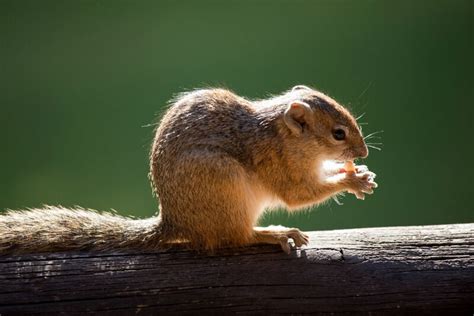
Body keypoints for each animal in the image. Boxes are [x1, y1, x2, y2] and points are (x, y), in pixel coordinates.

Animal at [0, 86, 378, 254]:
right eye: (338, 133)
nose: (363, 151)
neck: (281, 135)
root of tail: (176, 222)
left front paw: (359, 172)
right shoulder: (279, 165)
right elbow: (299, 195)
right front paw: (353, 179)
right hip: (225, 185)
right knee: (235, 238)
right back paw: (273, 233)